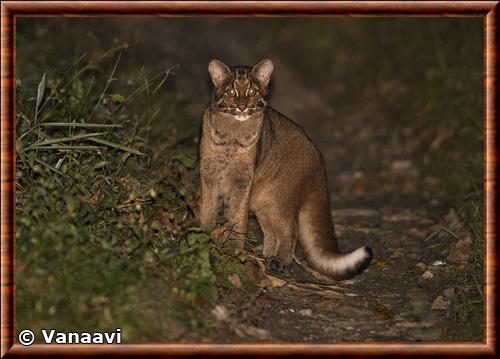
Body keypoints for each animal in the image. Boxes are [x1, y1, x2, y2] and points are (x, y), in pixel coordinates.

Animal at [197, 59, 374, 280]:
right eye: (231, 92)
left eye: (252, 91)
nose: (242, 106)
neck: (231, 140)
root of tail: (319, 158)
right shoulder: (208, 176)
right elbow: (207, 210)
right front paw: (202, 238)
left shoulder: (243, 183)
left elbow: (238, 219)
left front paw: (233, 250)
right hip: (264, 201)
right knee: (272, 230)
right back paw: (265, 255)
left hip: (280, 200)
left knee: (290, 229)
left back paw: (281, 261)